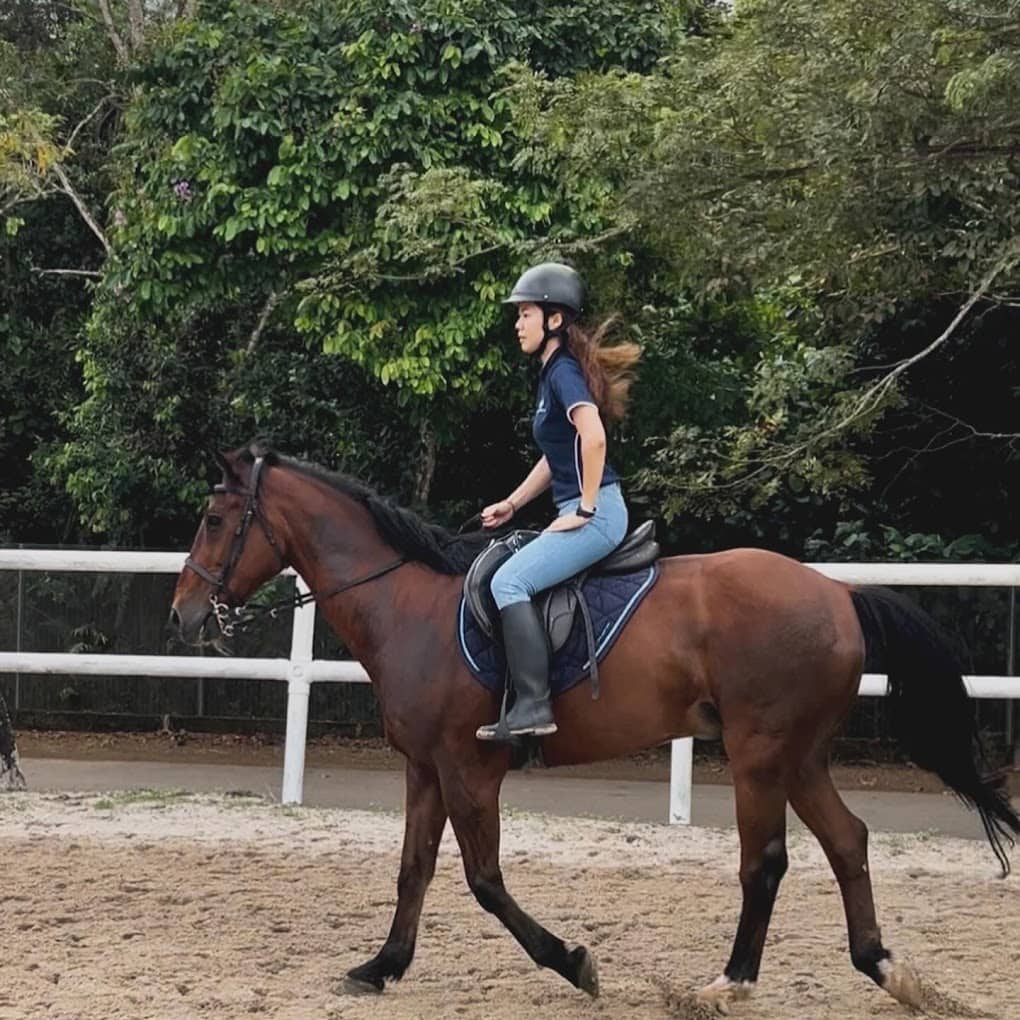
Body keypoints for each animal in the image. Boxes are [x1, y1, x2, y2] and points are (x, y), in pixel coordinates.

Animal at [169, 441, 1018, 1010]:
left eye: (213, 519)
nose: (181, 613)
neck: (408, 602)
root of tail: (838, 593)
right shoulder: (424, 767)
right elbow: (414, 869)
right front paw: (382, 966)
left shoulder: (468, 770)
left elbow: (484, 881)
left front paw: (573, 962)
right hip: (800, 756)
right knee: (847, 841)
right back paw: (884, 968)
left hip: (761, 753)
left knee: (766, 862)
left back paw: (729, 983)